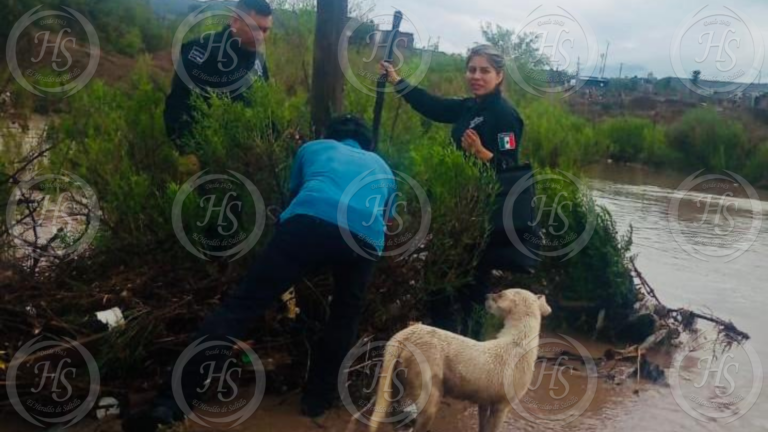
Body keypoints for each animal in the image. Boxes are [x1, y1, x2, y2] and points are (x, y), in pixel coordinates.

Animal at [368, 288, 548, 432]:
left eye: (500, 294)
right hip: (429, 399)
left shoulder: (487, 404)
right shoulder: (502, 406)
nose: (486, 294)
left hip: (396, 389)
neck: (519, 341)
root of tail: (404, 335)